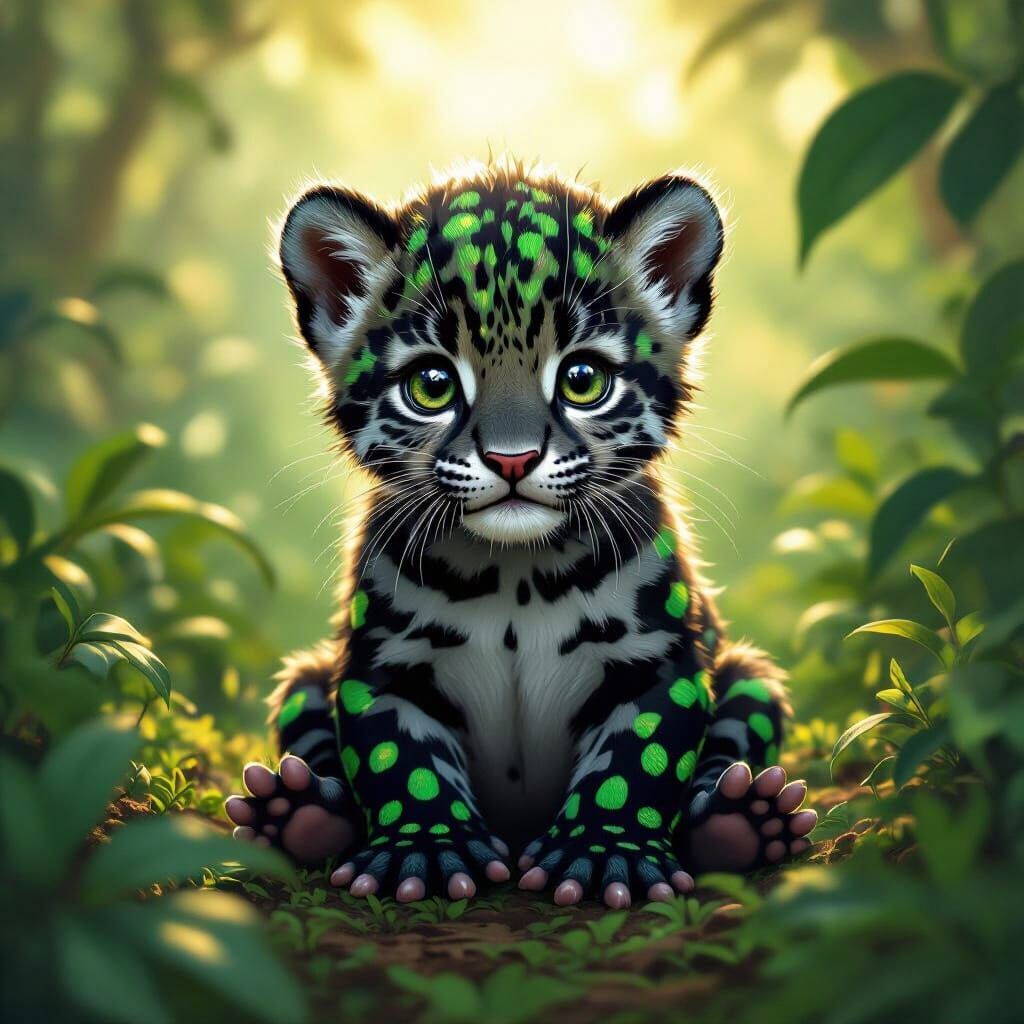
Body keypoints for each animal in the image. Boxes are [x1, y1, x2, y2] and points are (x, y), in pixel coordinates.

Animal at [226, 158, 817, 908]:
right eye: (432, 384)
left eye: (584, 378)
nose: (512, 459)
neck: (516, 575)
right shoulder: (384, 666)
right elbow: (401, 760)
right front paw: (428, 852)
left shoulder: (659, 662)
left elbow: (636, 763)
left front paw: (603, 859)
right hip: (306, 679)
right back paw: (297, 813)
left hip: (750, 677)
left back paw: (744, 820)